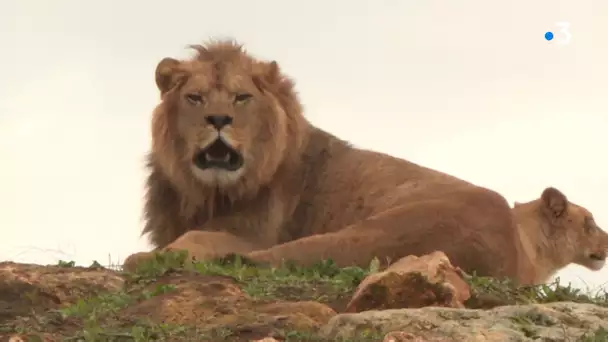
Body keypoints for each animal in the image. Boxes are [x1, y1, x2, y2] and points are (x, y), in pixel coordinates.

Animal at [122, 38, 536, 284]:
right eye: (195, 98)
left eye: (241, 98)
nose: (219, 120)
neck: (206, 192)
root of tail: (517, 253)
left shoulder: (254, 232)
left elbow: (206, 239)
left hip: (389, 226)